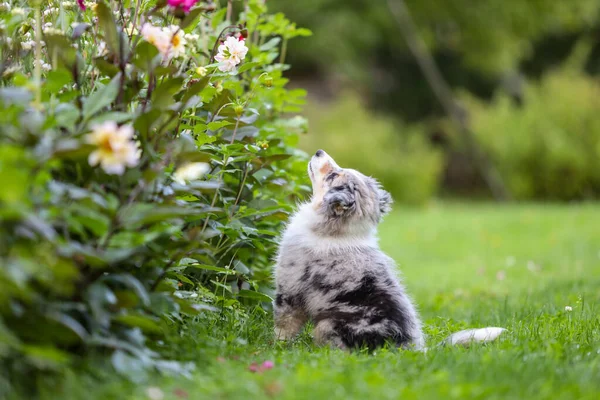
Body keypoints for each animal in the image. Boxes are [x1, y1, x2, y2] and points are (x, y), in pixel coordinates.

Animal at [274, 150, 504, 350]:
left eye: (332, 175)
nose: (319, 151)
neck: (337, 232)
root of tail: (409, 350)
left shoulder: (289, 289)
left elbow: (284, 325)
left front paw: (277, 346)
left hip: (326, 325)